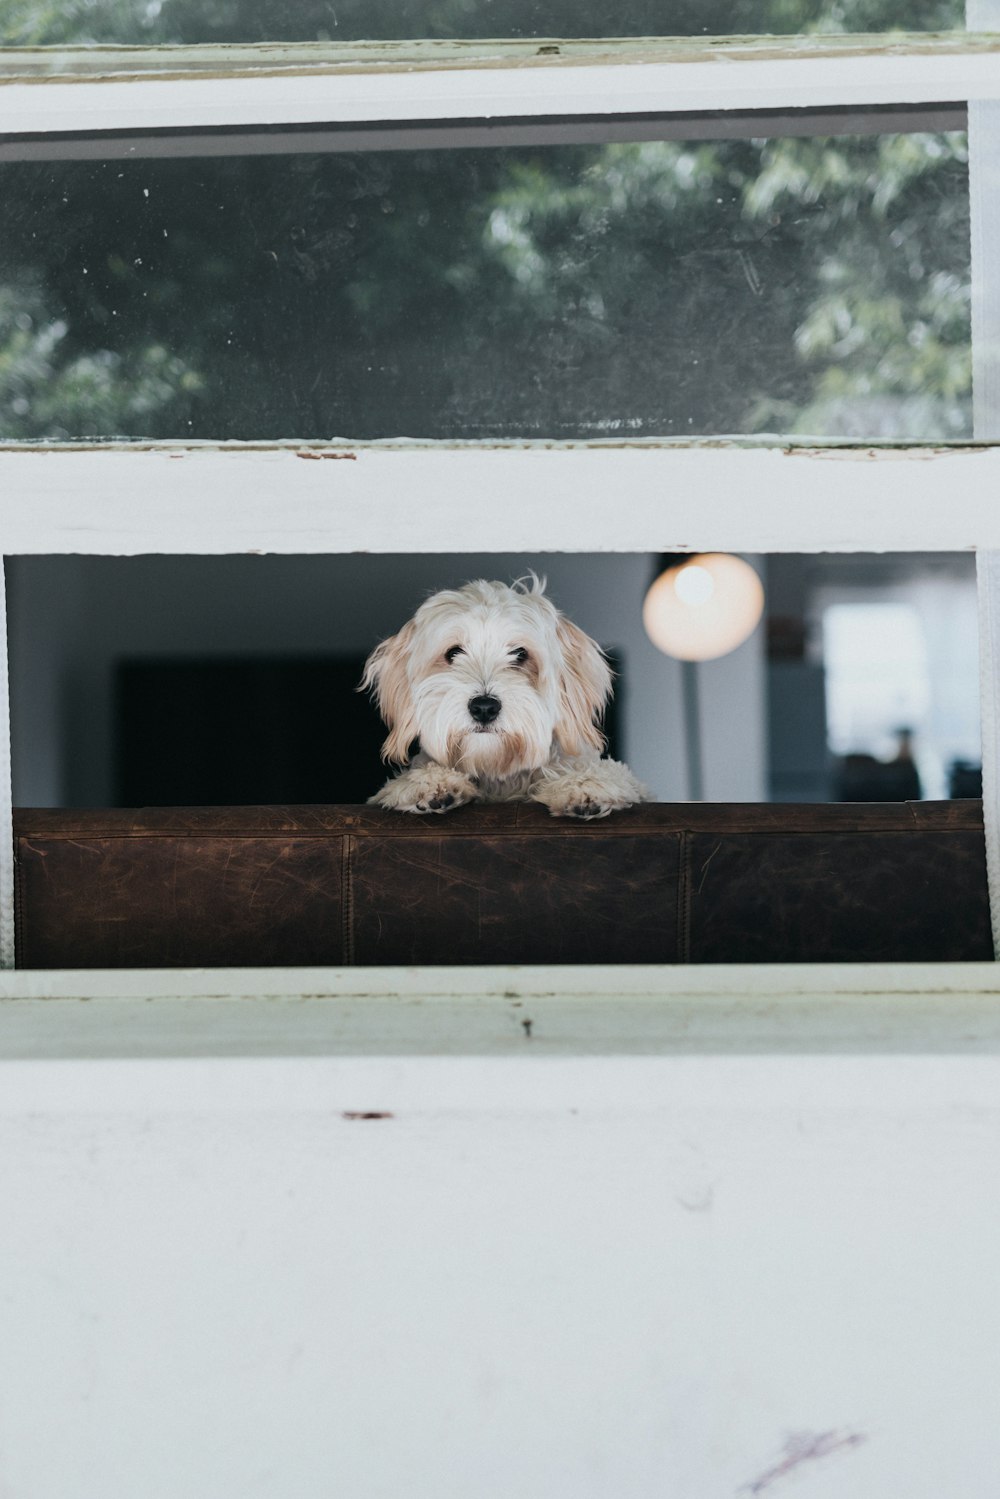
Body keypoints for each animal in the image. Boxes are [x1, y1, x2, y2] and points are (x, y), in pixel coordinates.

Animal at [359, 578, 650, 827]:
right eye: (453, 653)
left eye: (520, 654)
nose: (484, 707)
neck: (497, 770)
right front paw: (429, 782)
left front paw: (583, 783)